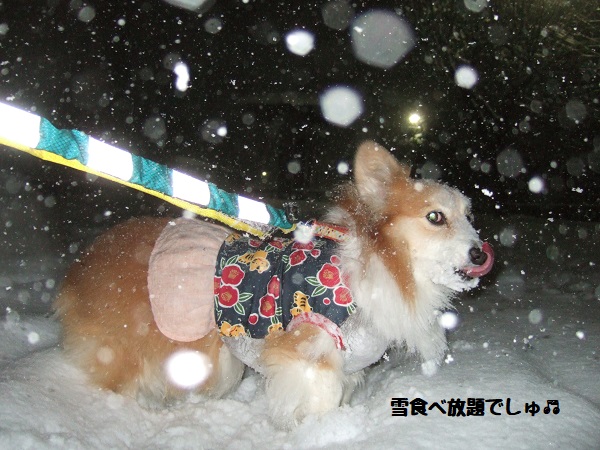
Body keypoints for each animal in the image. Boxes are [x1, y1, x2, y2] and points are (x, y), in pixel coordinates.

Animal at [54, 141, 494, 428]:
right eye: (435, 217)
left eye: (469, 216)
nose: (480, 254)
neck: (378, 265)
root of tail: (83, 262)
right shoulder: (306, 351)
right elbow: (321, 398)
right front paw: (319, 431)